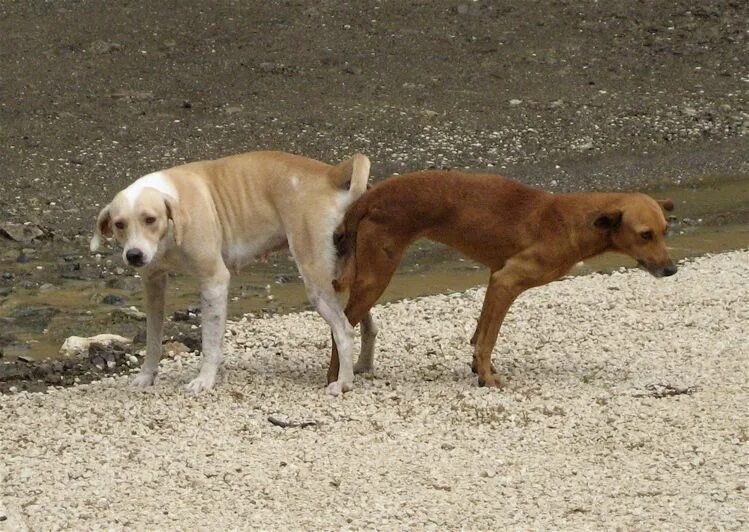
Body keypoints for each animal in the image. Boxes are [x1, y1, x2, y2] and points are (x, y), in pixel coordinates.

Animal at [92, 151, 372, 394]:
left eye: (150, 219)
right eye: (119, 224)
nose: (134, 255)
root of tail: (330, 173)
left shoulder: (213, 280)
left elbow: (210, 341)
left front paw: (205, 380)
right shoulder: (153, 285)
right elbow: (152, 339)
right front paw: (146, 376)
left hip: (317, 282)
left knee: (345, 331)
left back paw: (343, 383)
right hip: (342, 280)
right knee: (365, 324)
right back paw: (363, 366)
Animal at [330, 172, 676, 388]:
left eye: (665, 231)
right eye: (645, 235)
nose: (672, 270)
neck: (575, 222)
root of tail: (369, 198)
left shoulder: (495, 278)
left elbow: (479, 333)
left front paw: (479, 368)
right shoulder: (507, 281)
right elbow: (488, 339)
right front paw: (487, 377)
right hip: (375, 279)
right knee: (341, 328)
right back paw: (336, 378)